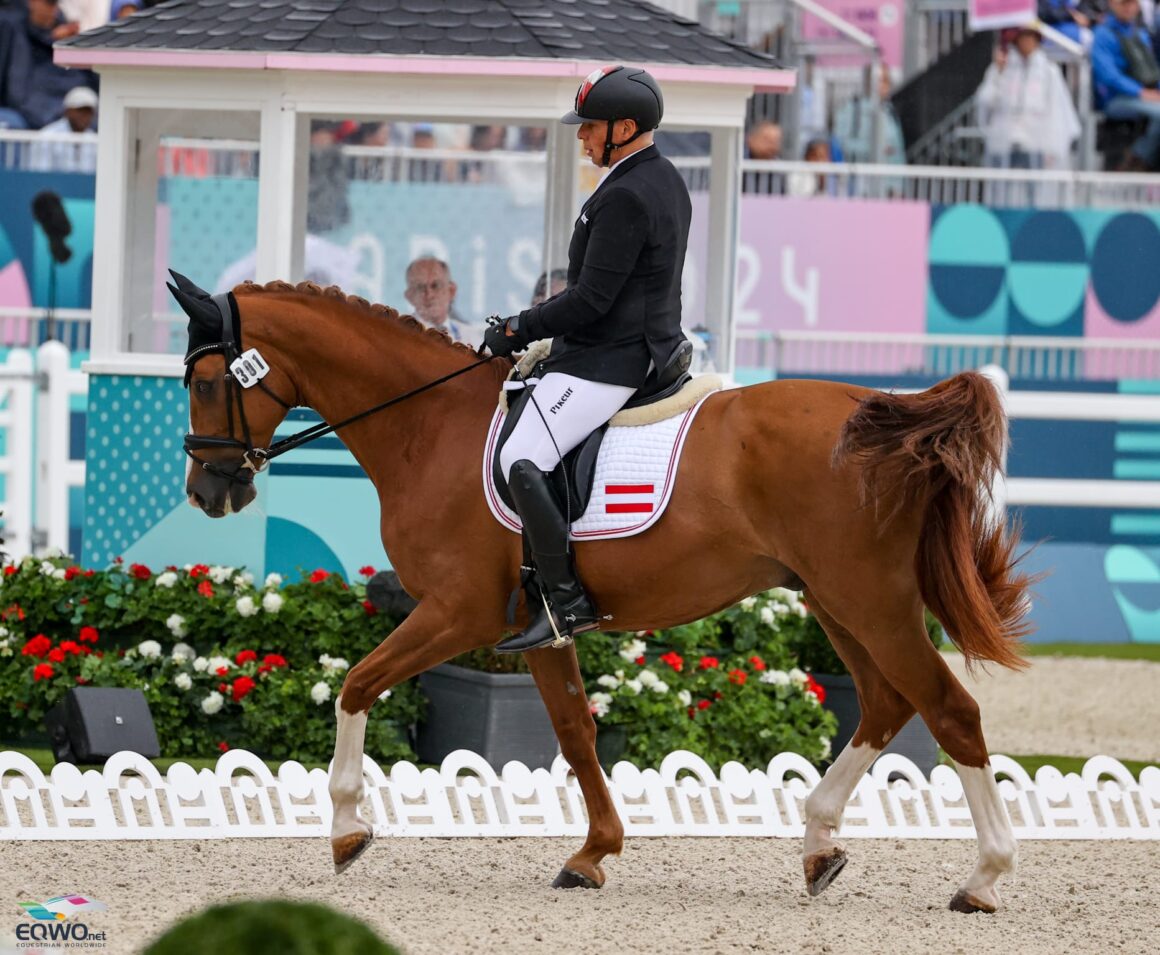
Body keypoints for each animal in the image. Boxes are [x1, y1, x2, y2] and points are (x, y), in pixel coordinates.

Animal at [174, 276, 1034, 909]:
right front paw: (592, 854)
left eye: (210, 381)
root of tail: (885, 409)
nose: (209, 491)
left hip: (869, 600)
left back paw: (984, 878)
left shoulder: (459, 612)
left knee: (949, 710)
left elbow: (355, 684)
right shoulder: (537, 625)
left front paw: (348, 830)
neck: (429, 424)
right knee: (887, 704)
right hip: (834, 599)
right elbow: (575, 731)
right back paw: (821, 845)